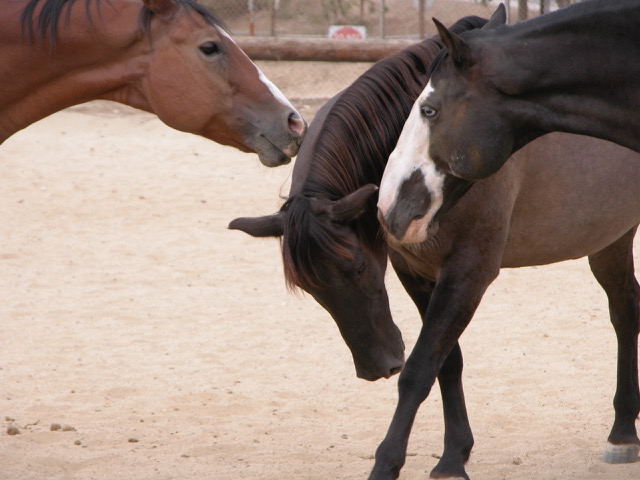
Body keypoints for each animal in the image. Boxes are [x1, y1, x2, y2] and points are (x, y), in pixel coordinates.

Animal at [229, 21, 640, 480]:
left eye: (357, 268)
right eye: (311, 290)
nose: (376, 366)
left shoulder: (467, 273)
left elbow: (421, 367)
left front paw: (390, 461)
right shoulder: (414, 271)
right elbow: (447, 361)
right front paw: (453, 456)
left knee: (625, 314)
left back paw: (623, 432)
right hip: (609, 239)